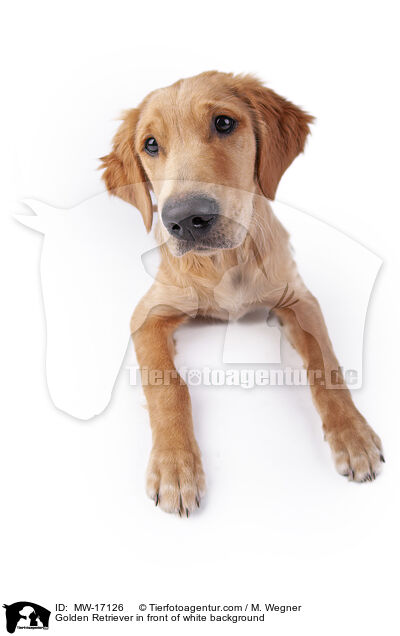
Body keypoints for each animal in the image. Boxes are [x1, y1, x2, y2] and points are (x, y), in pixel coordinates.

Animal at [99, 72, 382, 516]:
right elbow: (168, 386)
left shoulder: (298, 297)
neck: (225, 262)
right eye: (150, 144)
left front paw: (353, 436)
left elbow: (327, 365)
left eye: (224, 123)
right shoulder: (148, 312)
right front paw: (174, 466)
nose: (185, 220)